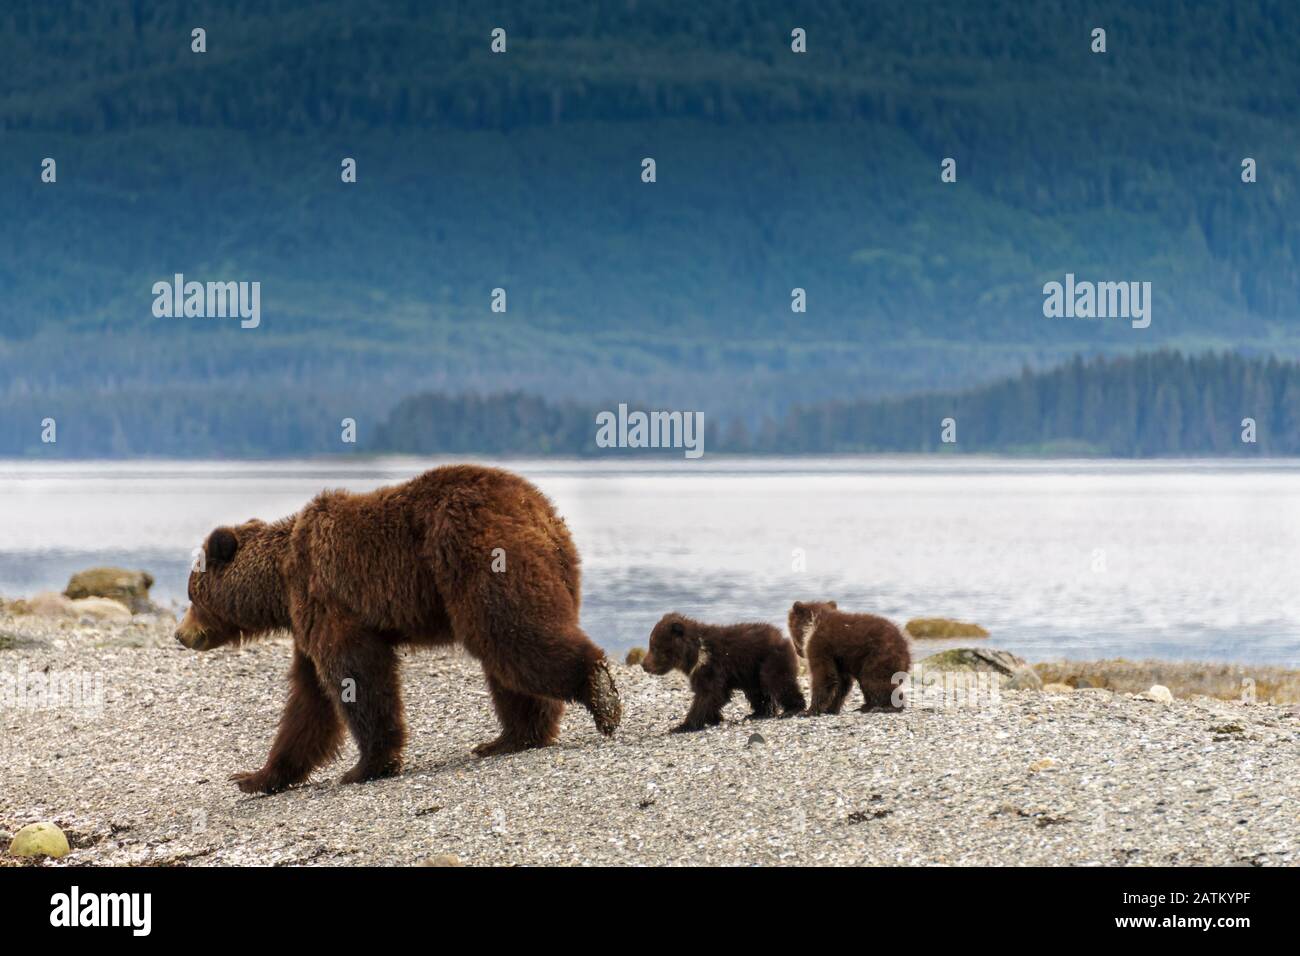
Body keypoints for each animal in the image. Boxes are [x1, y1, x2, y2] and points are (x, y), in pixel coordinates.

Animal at [175, 463, 621, 790]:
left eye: (192, 594)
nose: (180, 635)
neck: (282, 581)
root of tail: (538, 508)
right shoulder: (307, 624)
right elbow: (308, 699)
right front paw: (257, 776)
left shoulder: (328, 599)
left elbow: (357, 676)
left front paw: (366, 766)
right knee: (507, 659)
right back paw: (510, 738)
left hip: (479, 557)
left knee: (514, 637)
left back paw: (599, 693)